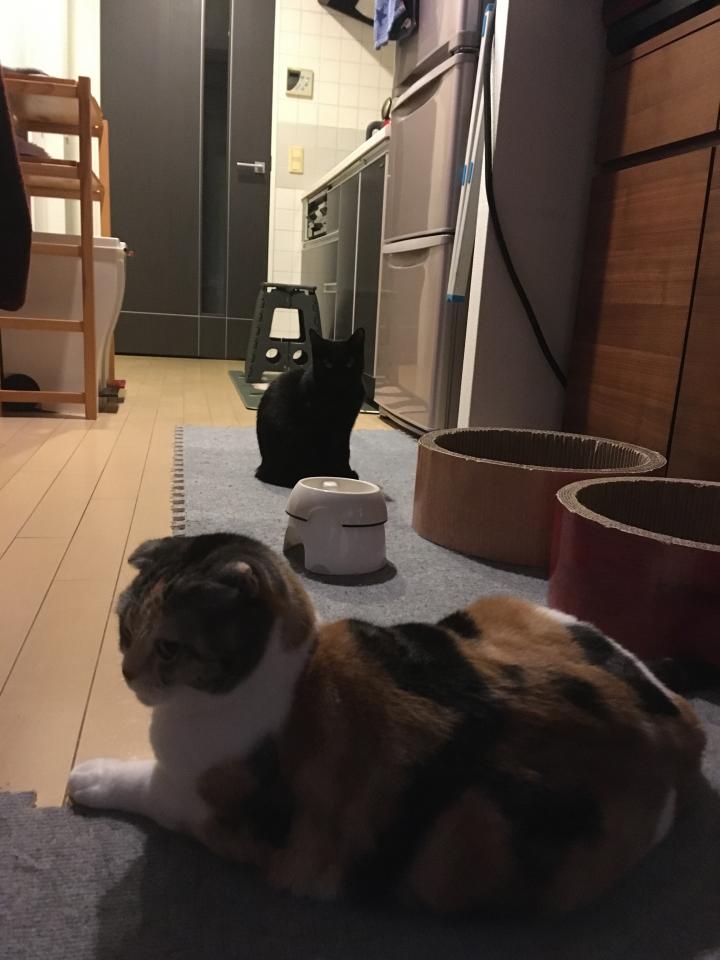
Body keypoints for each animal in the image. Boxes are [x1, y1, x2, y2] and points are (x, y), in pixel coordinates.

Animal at [68, 533, 706, 916]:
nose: (126, 672)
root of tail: (684, 732)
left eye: (169, 647)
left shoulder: (208, 809)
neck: (288, 677)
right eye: (125, 628)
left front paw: (89, 775)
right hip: (505, 612)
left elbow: (143, 784)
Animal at [255, 327, 365, 488]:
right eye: (328, 363)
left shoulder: (345, 427)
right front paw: (342, 475)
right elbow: (335, 453)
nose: (339, 376)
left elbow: (344, 450)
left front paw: (344, 474)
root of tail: (263, 467)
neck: (340, 396)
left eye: (349, 362)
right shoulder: (323, 430)